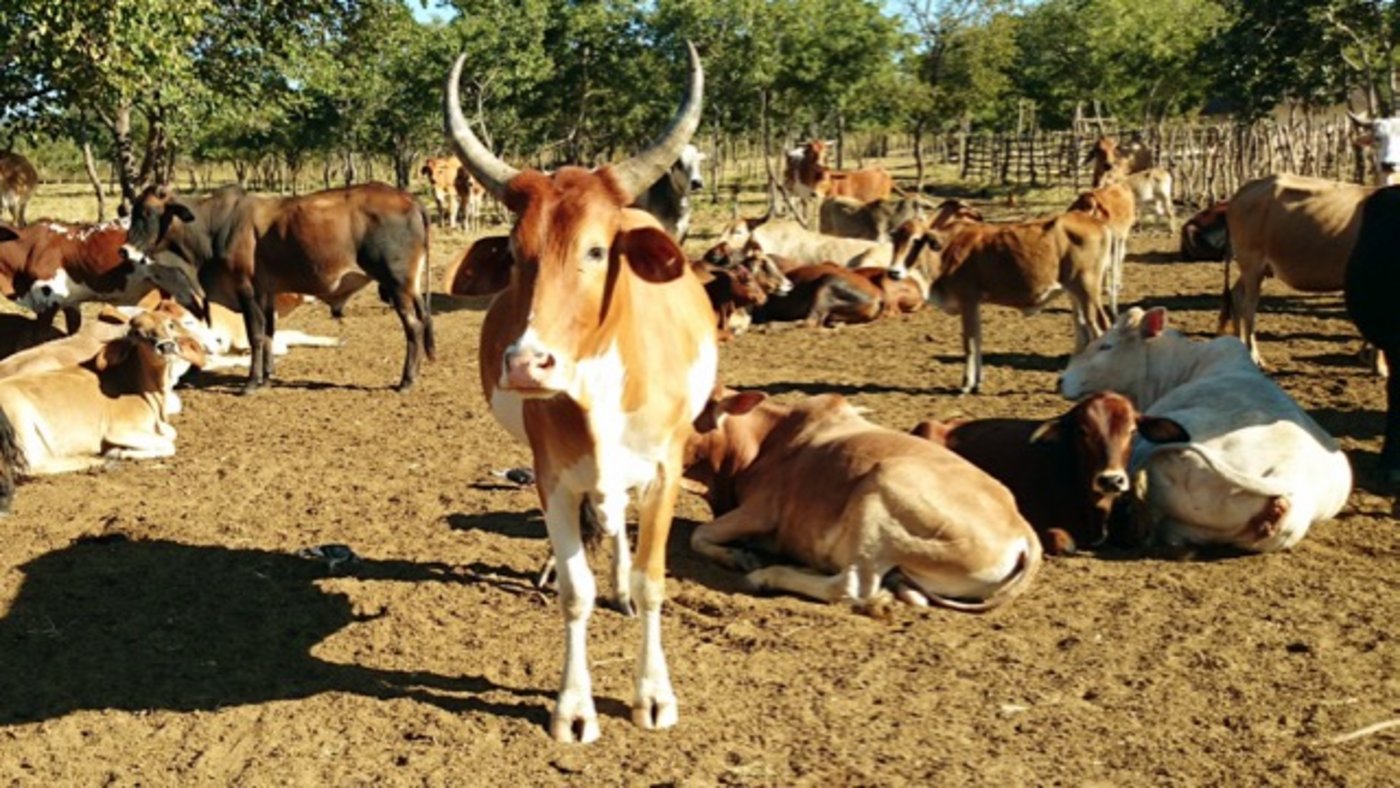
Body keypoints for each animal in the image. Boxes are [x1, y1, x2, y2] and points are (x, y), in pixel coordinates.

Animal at [120, 181, 434, 393]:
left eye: (147, 212)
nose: (124, 250)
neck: (212, 227)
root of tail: (410, 199)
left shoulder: (245, 290)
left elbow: (256, 336)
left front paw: (251, 382)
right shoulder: (265, 292)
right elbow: (269, 334)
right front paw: (267, 376)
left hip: (398, 284)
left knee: (414, 327)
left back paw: (406, 381)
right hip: (412, 288)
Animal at [445, 43, 716, 743]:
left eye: (596, 250)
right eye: (517, 254)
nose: (526, 364)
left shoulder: (667, 468)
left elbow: (651, 580)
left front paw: (653, 694)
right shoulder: (554, 477)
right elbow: (575, 590)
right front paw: (573, 707)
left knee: (620, 527)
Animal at [683, 390, 1042, 610]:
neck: (765, 440)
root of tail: (1024, 533)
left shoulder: (761, 511)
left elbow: (698, 534)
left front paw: (738, 557)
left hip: (880, 487)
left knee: (851, 586)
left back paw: (768, 576)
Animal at [893, 206, 1113, 393]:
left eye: (916, 240)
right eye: (894, 239)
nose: (894, 271)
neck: (946, 250)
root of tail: (1097, 223)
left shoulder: (968, 300)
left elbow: (969, 342)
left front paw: (966, 384)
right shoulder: (975, 304)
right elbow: (978, 339)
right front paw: (978, 382)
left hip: (1087, 289)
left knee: (1099, 329)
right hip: (1074, 294)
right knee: (1083, 334)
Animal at [1220, 173, 1373, 366]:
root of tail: (1241, 192)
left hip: (1256, 268)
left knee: (1237, 296)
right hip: (1251, 263)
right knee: (1249, 306)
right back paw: (1254, 355)